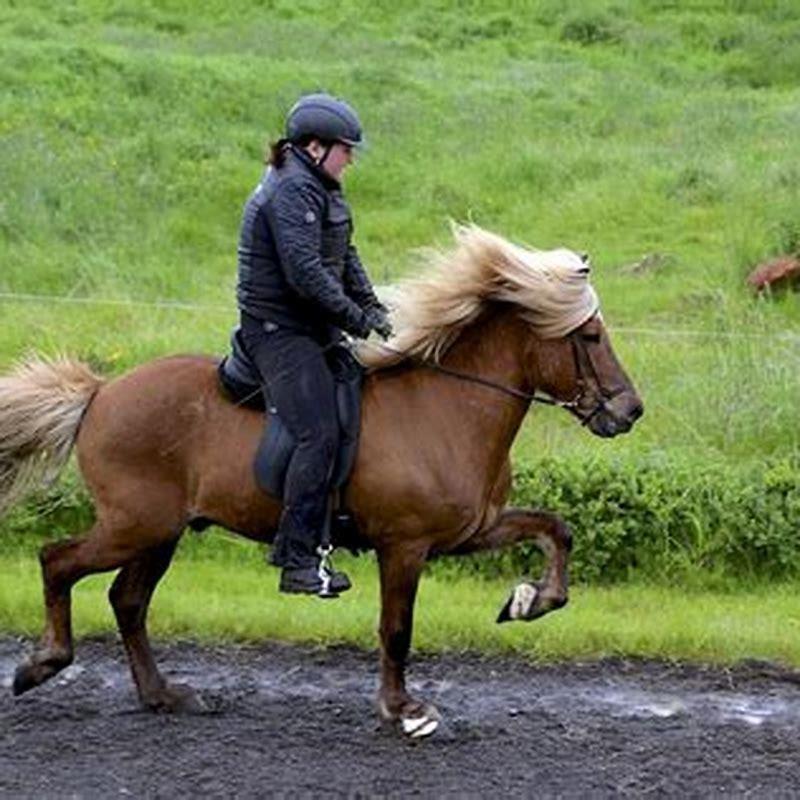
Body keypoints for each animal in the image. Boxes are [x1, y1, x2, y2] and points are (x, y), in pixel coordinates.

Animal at [1, 225, 642, 738]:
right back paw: (43, 664)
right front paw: (404, 711)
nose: (630, 411)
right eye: (590, 337)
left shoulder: (471, 530)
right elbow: (396, 629)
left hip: (161, 532)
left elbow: (556, 530)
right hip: (135, 525)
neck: (447, 407)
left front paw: (529, 601)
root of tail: (100, 392)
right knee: (58, 561)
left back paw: (164, 695)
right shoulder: (404, 546)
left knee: (127, 600)